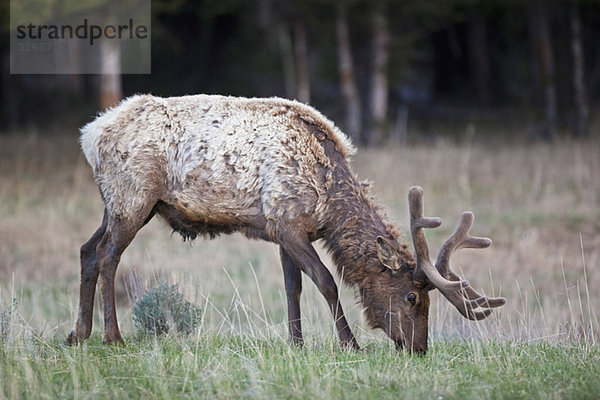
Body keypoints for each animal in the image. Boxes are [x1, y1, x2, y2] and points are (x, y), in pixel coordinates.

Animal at [67, 94, 506, 354]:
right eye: (413, 297)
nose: (419, 348)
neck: (328, 201)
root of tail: (90, 135)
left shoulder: (282, 229)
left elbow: (292, 286)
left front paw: (296, 342)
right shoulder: (289, 224)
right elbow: (326, 282)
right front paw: (349, 343)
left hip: (118, 204)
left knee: (87, 250)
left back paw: (78, 333)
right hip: (133, 197)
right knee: (107, 256)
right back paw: (112, 336)